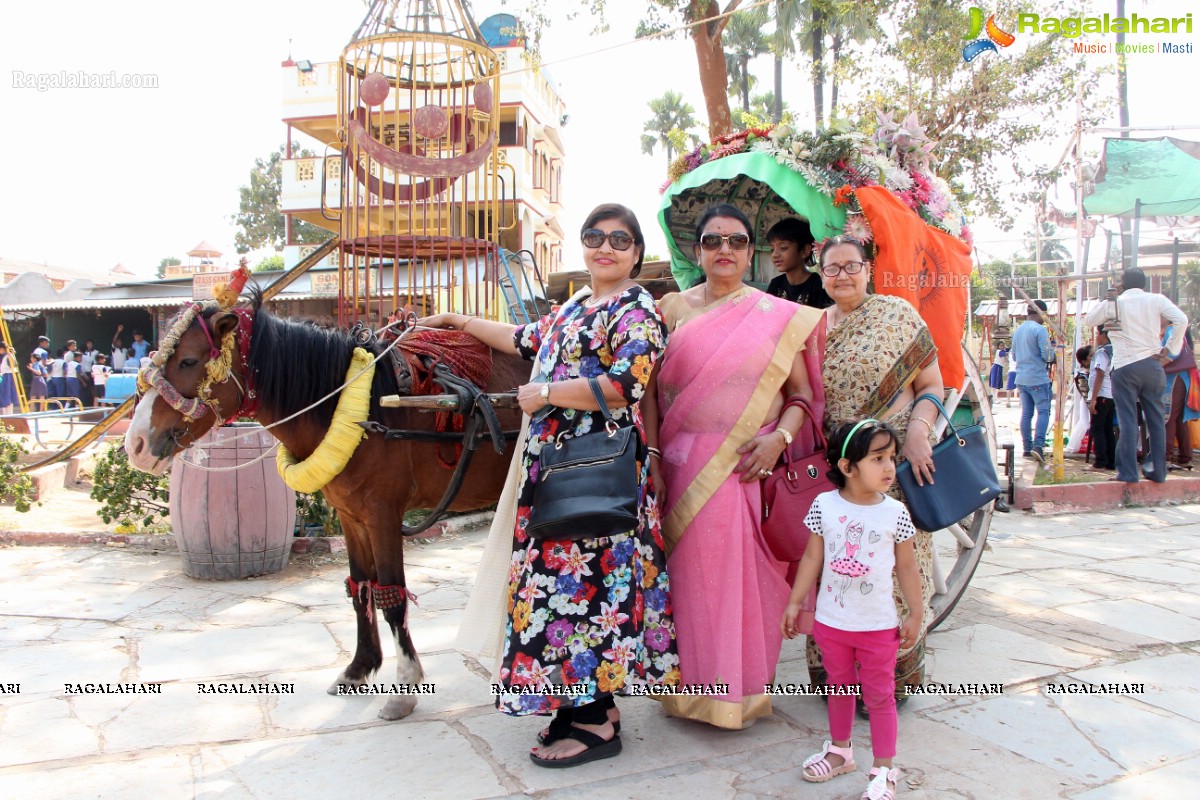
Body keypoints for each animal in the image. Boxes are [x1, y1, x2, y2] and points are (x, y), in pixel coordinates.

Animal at [123, 297, 530, 724]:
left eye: (187, 361)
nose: (135, 444)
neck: (353, 401)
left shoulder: (383, 516)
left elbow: (392, 598)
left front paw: (405, 685)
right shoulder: (352, 517)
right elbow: (360, 589)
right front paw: (359, 668)